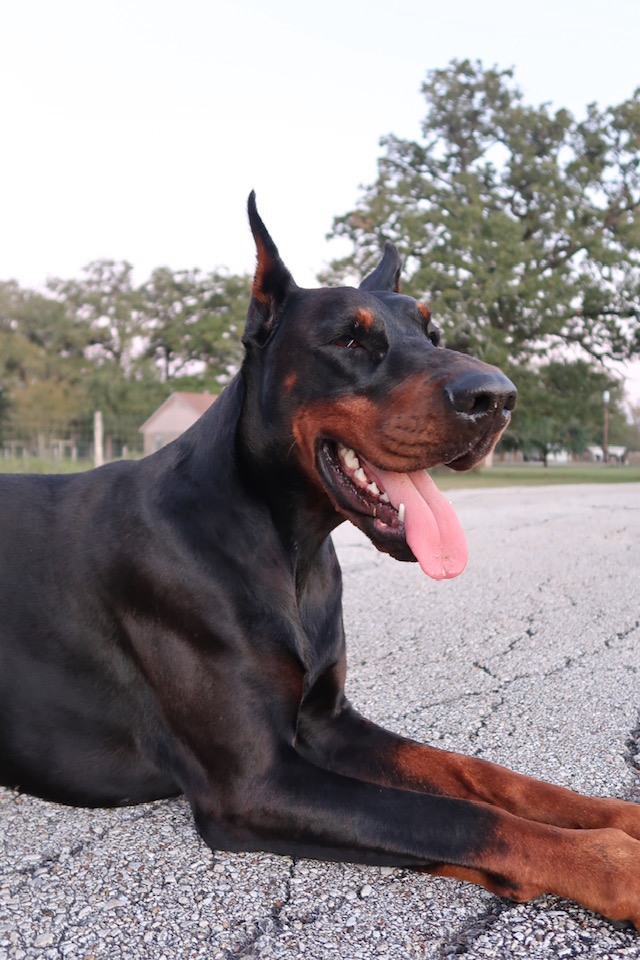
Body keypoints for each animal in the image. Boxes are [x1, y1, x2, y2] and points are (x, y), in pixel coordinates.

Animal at [1, 194, 638, 929]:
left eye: (433, 329)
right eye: (348, 341)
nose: (497, 398)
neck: (289, 550)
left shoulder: (328, 723)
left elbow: (480, 774)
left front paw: (616, 816)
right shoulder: (256, 783)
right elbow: (456, 817)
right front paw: (616, 862)